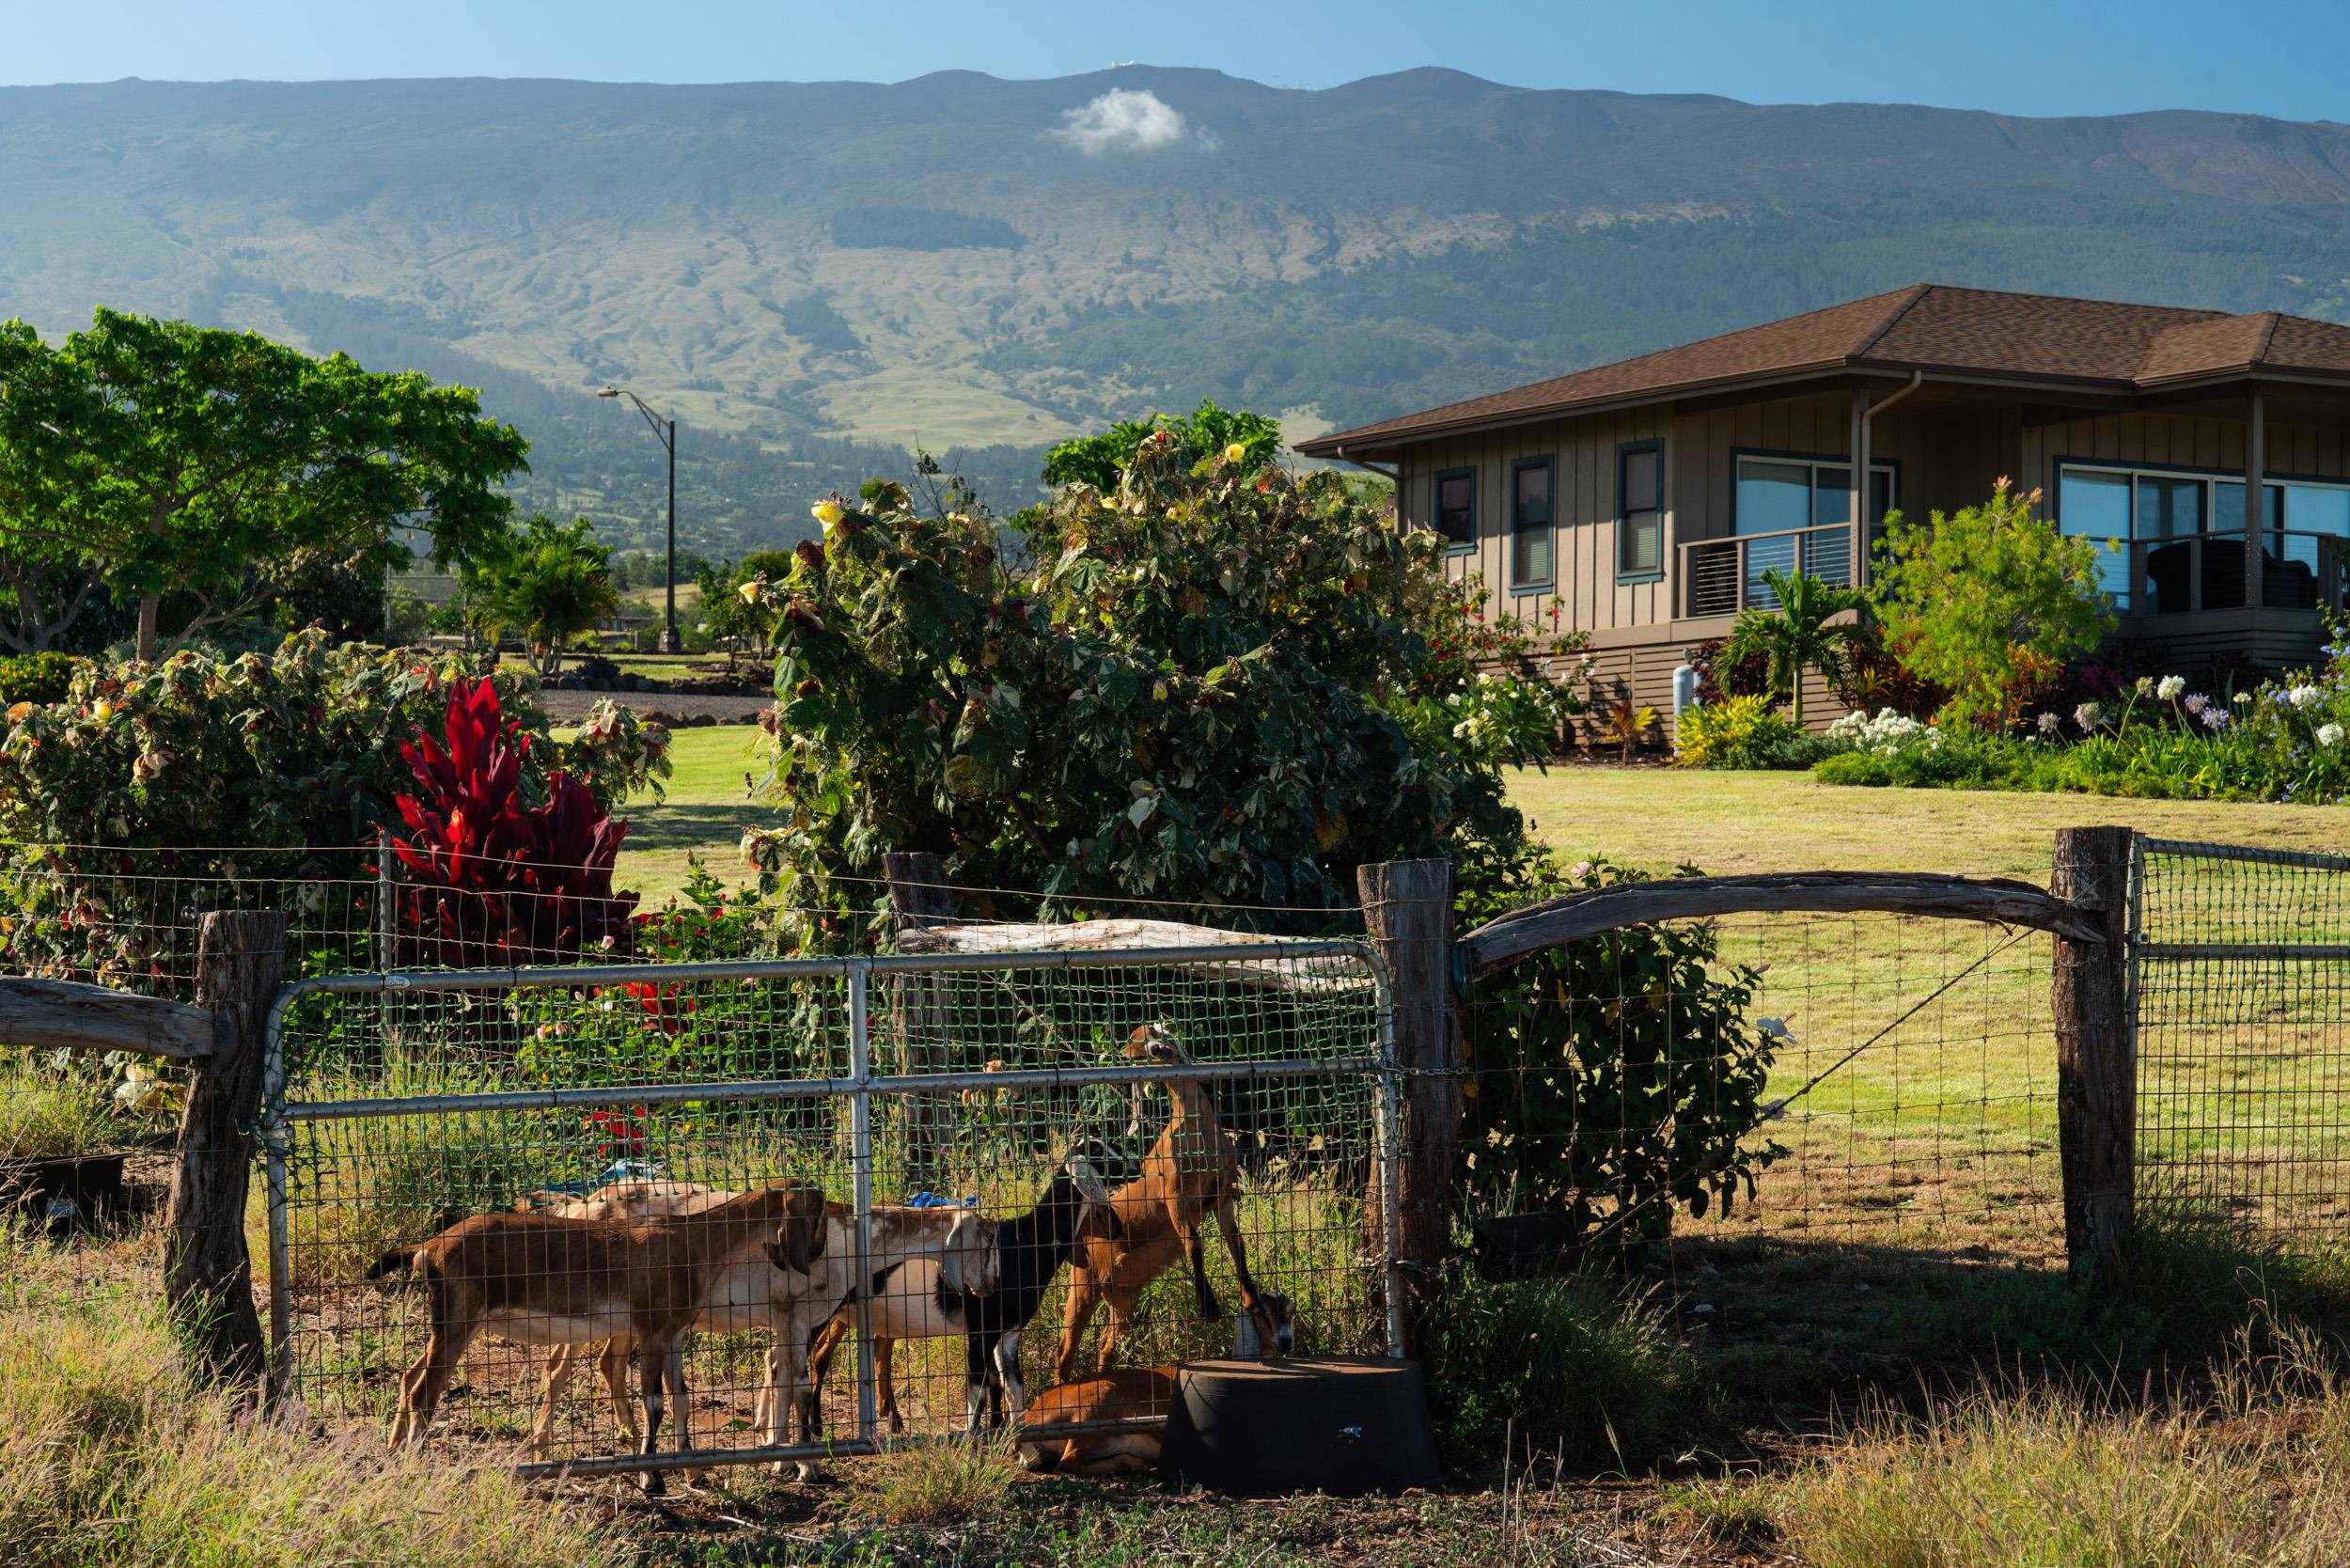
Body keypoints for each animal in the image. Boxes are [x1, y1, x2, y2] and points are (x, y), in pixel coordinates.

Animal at [371, 1184, 832, 1504]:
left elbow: (680, 1398)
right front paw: (652, 1478)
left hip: (448, 1326)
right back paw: (414, 1463)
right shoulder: (650, 1331)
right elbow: (654, 1403)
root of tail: (428, 1247)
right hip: (458, 1321)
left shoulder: (674, 1334)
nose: (815, 1256)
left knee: (410, 1377)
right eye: (817, 1213)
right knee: (425, 1391)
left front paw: (695, 1473)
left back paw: (393, 1451)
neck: (692, 1243)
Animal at [799, 1161, 1119, 1438]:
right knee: (812, 1358)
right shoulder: (982, 1328)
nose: (1117, 1228)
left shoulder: (1006, 1331)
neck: (1022, 1245)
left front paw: (1006, 1429)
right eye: (1105, 1154)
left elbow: (1010, 1384)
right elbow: (980, 1388)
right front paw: (978, 1434)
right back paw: (813, 1430)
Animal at [1020, 1288, 1297, 1476]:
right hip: (1095, 1408)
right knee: (1066, 1462)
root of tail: (1033, 1414)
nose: (1285, 1340)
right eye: (1263, 1312)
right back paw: (1135, 1464)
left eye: (1290, 1312)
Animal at [1053, 1029, 1269, 1382]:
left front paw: (1253, 1302)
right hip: (1083, 1288)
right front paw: (1209, 1308)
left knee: (1105, 1346)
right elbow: (1194, 1242)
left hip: (1122, 1301)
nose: (1162, 1050)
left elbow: (1237, 1245)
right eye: (1147, 1046)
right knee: (1065, 1348)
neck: (1197, 1136)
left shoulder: (1221, 1195)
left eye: (1161, 1038)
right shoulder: (1174, 1196)